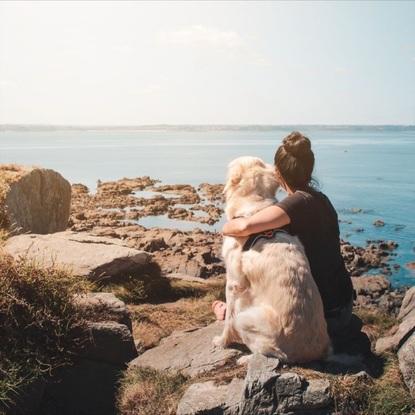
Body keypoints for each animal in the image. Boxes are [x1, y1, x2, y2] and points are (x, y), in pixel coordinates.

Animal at [214, 156, 332, 364]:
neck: (254, 205)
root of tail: (312, 353)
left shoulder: (234, 282)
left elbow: (229, 318)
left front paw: (223, 341)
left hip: (248, 319)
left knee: (277, 355)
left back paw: (247, 359)